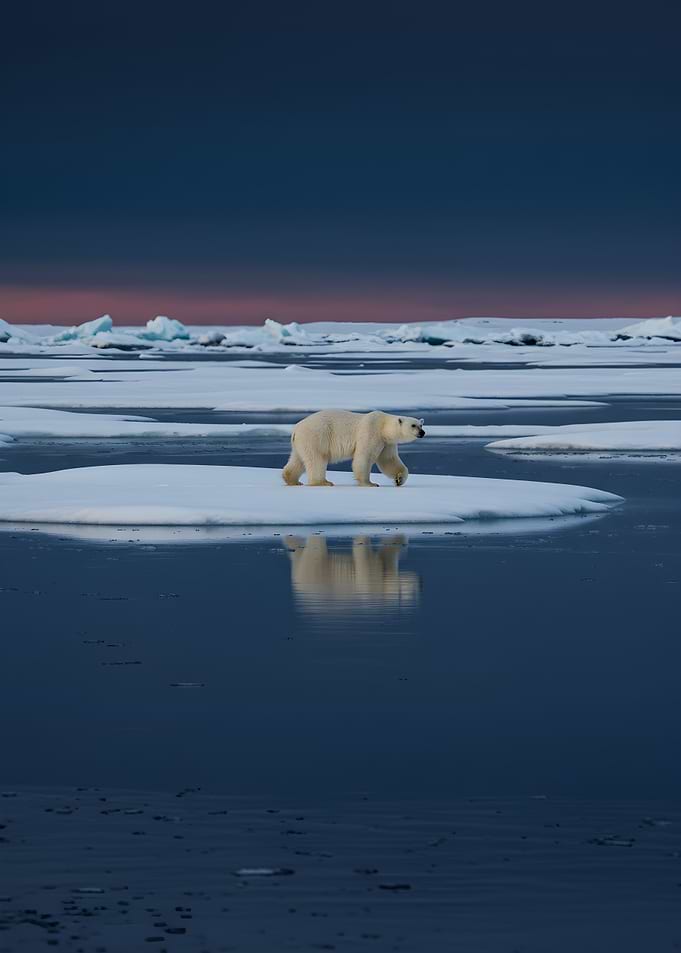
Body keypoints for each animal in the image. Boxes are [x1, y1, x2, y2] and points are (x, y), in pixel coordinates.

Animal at [282, 409, 426, 488]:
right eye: (413, 425)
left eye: (421, 425)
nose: (422, 433)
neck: (383, 426)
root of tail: (296, 429)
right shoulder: (371, 431)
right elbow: (364, 457)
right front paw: (370, 483)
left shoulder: (386, 443)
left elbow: (389, 460)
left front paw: (399, 479)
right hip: (316, 436)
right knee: (317, 459)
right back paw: (323, 482)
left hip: (301, 443)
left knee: (298, 460)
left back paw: (293, 480)